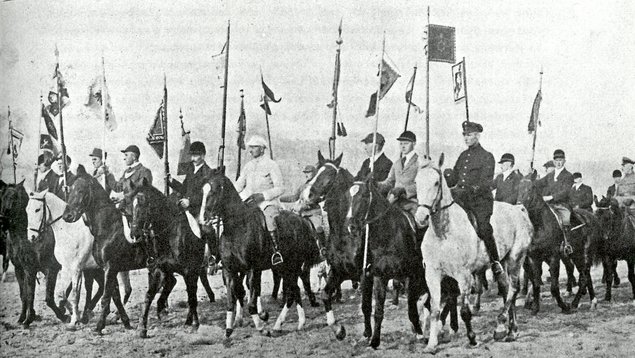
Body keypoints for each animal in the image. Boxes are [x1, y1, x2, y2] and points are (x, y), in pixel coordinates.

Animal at [0, 182, 69, 328]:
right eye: (2, 197)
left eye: (14, 197)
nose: (2, 221)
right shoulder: (21, 269)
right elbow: (25, 294)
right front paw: (24, 317)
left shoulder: (49, 269)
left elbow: (47, 297)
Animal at [200, 172, 322, 338]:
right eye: (202, 192)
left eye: (213, 192)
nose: (203, 219)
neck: (237, 228)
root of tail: (303, 221)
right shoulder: (229, 270)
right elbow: (231, 300)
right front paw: (229, 328)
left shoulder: (252, 270)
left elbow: (251, 301)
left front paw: (261, 327)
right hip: (285, 268)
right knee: (295, 291)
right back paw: (297, 323)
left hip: (292, 266)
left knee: (292, 293)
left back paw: (279, 325)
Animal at [414, 155, 536, 352]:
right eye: (416, 182)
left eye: (436, 183)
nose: (420, 218)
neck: (443, 233)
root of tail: (519, 210)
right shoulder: (432, 275)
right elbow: (434, 309)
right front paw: (432, 344)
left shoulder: (464, 276)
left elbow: (464, 311)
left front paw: (472, 339)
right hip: (502, 262)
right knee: (506, 289)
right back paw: (512, 330)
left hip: (516, 258)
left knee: (513, 289)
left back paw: (501, 327)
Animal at [516, 173, 600, 314]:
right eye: (517, 187)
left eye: (531, 187)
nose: (520, 207)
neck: (540, 225)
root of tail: (591, 217)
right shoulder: (535, 258)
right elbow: (536, 283)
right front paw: (535, 308)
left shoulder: (553, 257)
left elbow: (554, 287)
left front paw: (564, 306)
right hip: (574, 255)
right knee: (585, 275)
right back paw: (591, 301)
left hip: (584, 254)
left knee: (583, 277)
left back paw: (575, 303)